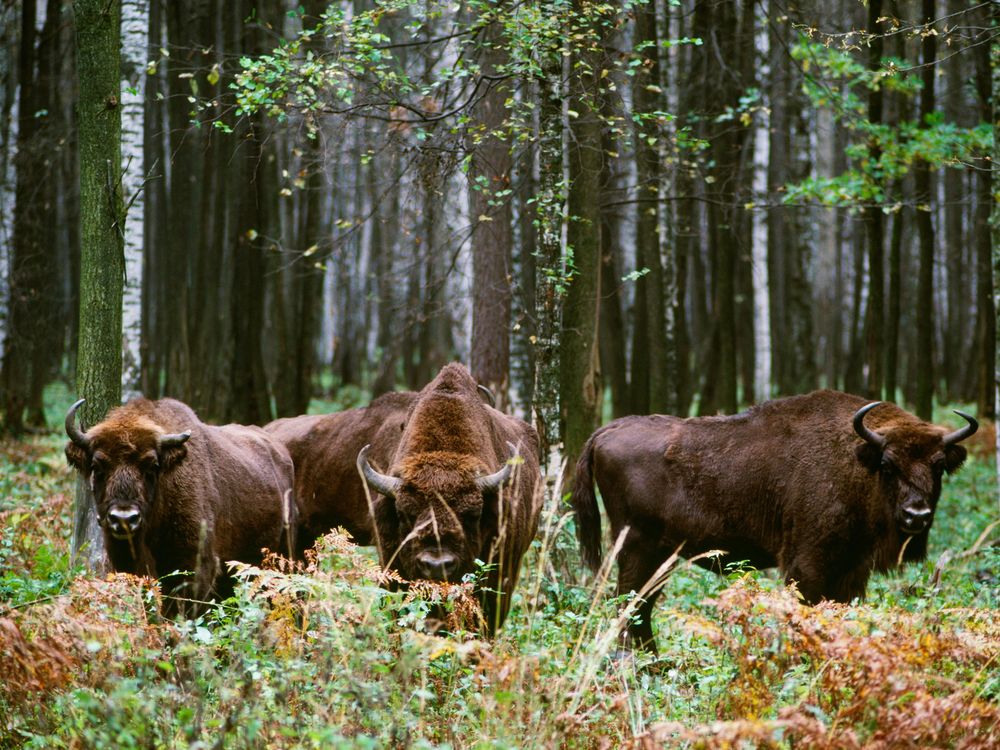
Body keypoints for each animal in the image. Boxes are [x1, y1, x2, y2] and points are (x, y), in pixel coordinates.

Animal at [576, 390, 972, 656]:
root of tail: (606, 430)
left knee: (641, 606)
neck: (858, 462)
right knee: (628, 603)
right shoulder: (807, 566)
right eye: (888, 465)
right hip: (637, 548)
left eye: (938, 465)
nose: (916, 515)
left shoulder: (852, 571)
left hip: (663, 556)